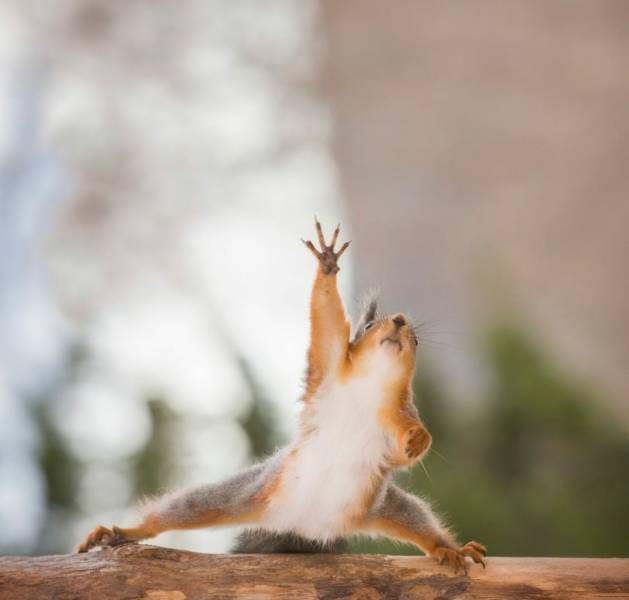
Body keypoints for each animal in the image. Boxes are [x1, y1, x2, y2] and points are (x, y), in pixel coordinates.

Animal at [77, 219, 486, 573]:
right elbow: (327, 321)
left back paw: (449, 548)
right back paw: (124, 532)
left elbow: (404, 445)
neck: (370, 384)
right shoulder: (328, 366)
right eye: (370, 325)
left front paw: (419, 440)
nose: (400, 321)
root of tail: (305, 526)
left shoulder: (396, 412)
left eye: (416, 341)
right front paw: (327, 263)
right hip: (248, 493)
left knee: (420, 522)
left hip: (381, 505)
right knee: (184, 508)